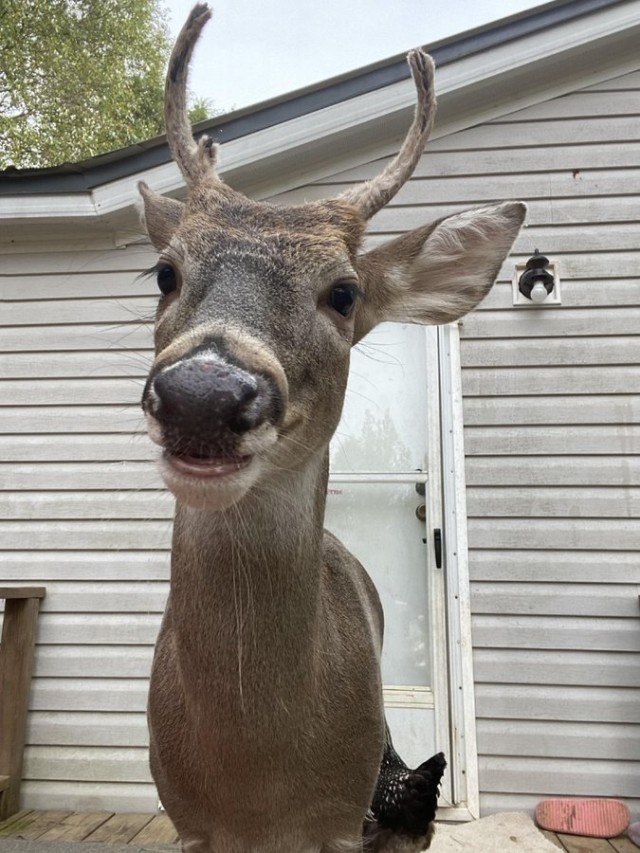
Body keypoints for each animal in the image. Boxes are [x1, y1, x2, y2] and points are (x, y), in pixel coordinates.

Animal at [140, 6, 524, 852]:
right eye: (165, 273)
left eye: (344, 293)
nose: (202, 395)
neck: (259, 780)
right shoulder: (185, 816)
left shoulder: (343, 816)